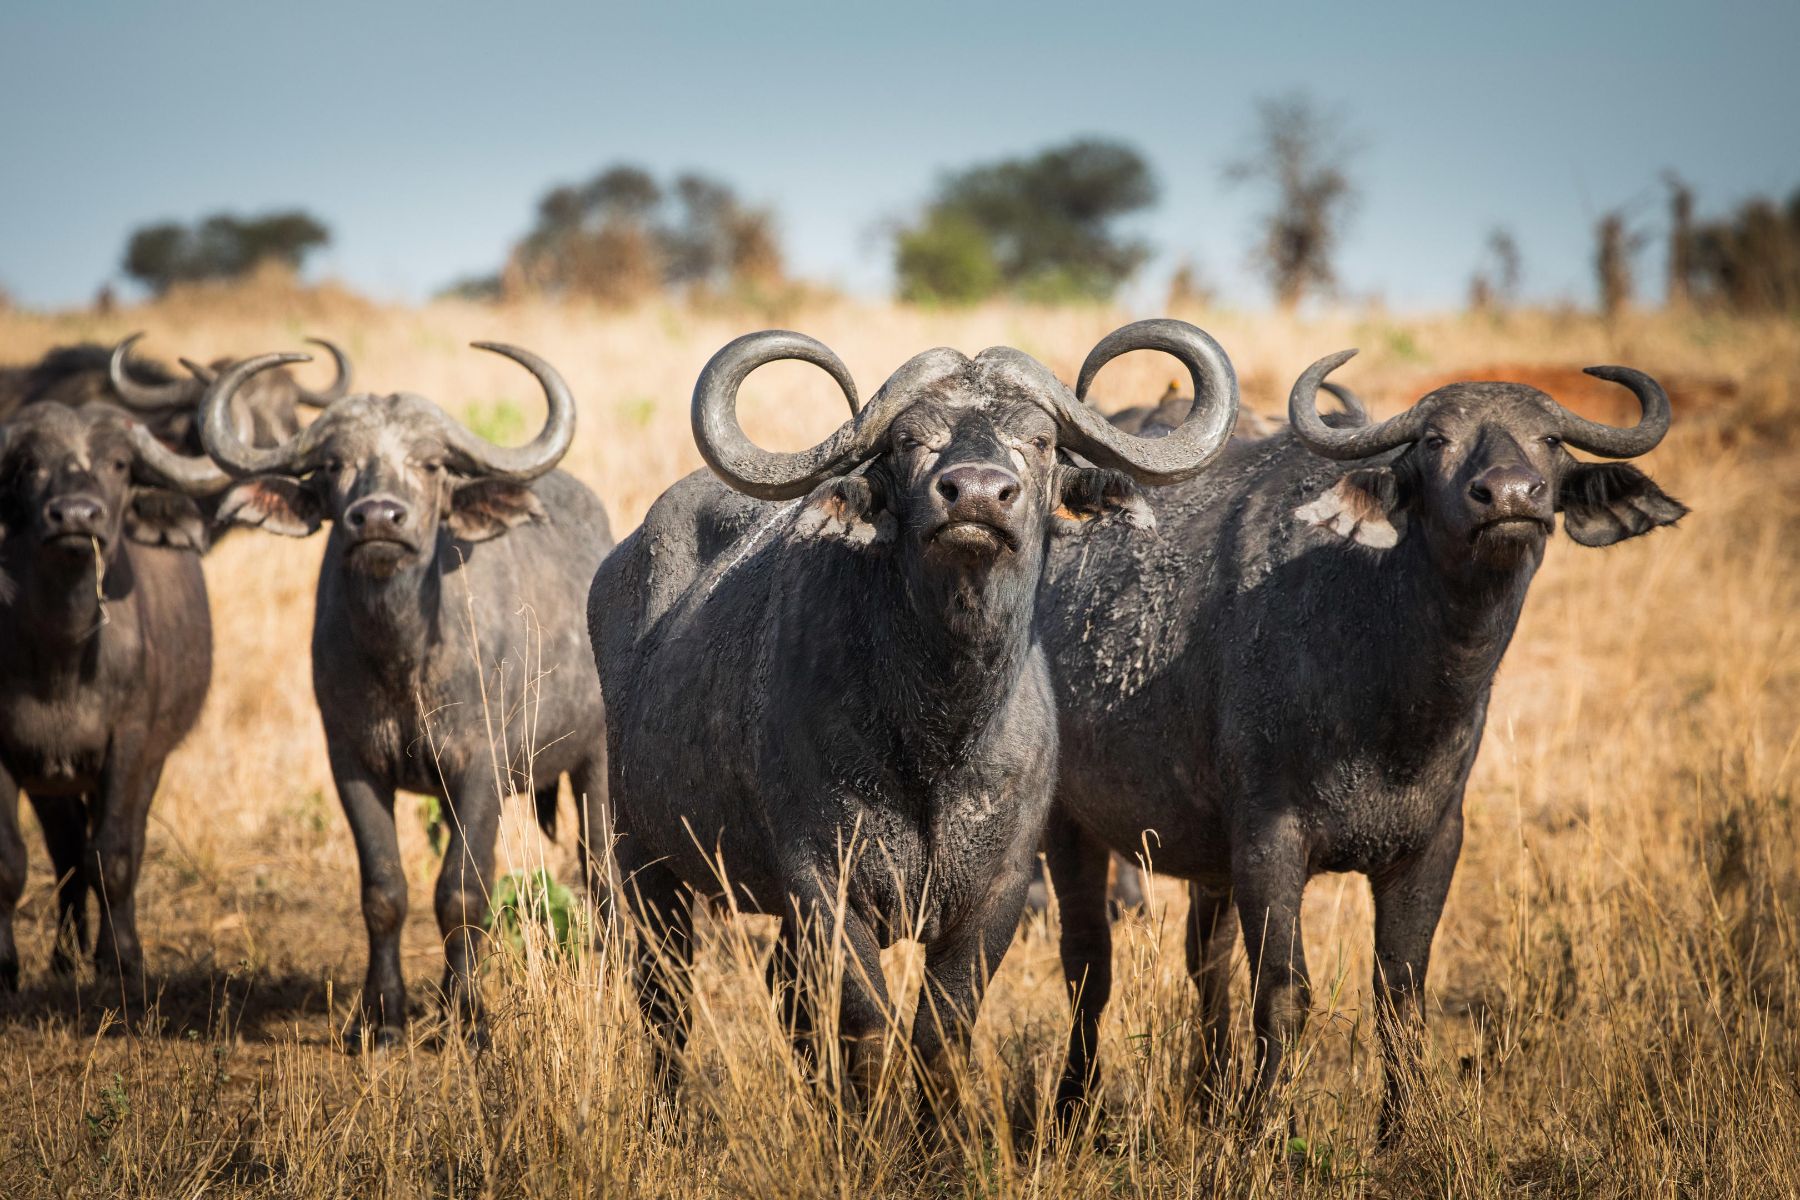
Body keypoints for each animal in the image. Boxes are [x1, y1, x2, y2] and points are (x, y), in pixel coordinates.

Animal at [0, 402, 227, 989]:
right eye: (28, 464)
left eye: (120, 465)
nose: (77, 516)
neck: (63, 657)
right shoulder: (8, 752)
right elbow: (11, 861)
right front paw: (6, 965)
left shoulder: (129, 744)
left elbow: (114, 856)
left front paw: (120, 960)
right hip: (52, 781)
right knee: (65, 851)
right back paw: (63, 956)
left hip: (147, 762)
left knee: (114, 844)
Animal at [198, 346, 611, 1045]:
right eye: (334, 464)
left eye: (432, 463)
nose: (378, 519)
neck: (403, 656)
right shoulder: (351, 763)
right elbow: (384, 889)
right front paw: (380, 1017)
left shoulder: (481, 768)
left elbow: (464, 891)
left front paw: (468, 1015)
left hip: (598, 762)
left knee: (603, 870)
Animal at [588, 320, 1239, 1107]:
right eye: (908, 440)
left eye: (1040, 440)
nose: (977, 496)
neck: (939, 734)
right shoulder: (824, 886)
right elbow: (867, 1031)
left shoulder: (996, 896)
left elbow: (939, 1035)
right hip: (642, 858)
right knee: (665, 999)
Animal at [1039, 352, 1686, 1138]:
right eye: (1435, 440)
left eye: (1551, 440)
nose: (1509, 496)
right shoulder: (1268, 843)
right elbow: (1284, 992)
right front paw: (1265, 1127)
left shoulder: (1432, 844)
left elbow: (1401, 995)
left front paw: (1403, 1128)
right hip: (1068, 827)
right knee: (1087, 963)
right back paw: (1075, 1108)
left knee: (1204, 960)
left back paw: (1209, 1095)